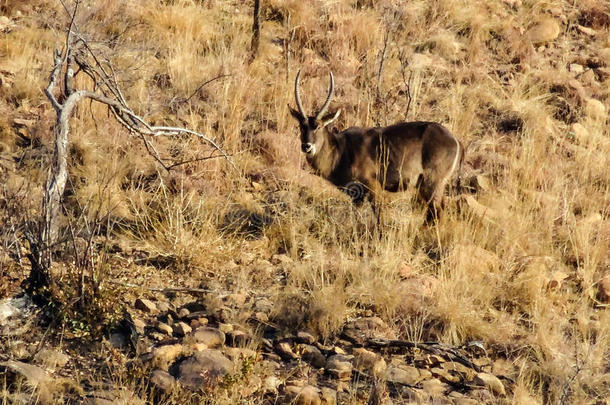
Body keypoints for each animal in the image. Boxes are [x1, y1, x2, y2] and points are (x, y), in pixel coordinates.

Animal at [288, 69, 464, 221]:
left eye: (318, 126)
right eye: (301, 126)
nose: (307, 146)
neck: (341, 150)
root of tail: (455, 140)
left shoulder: (373, 187)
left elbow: (378, 215)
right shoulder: (356, 196)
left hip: (432, 183)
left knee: (437, 212)